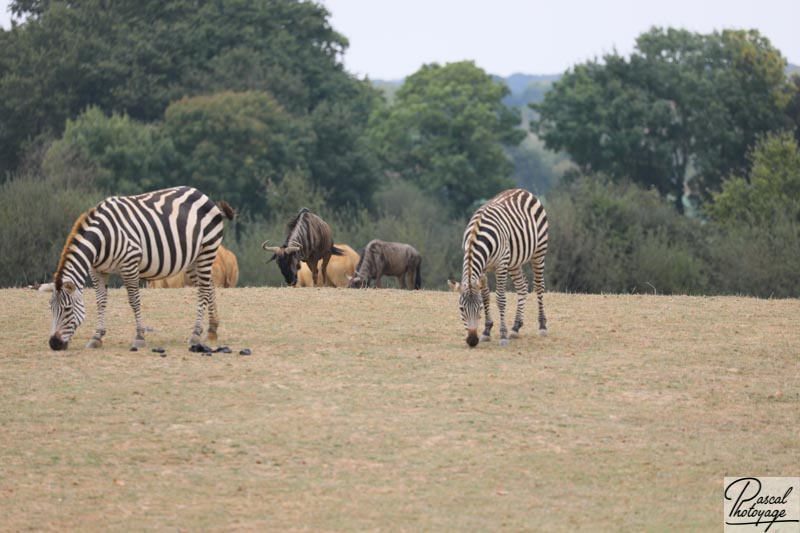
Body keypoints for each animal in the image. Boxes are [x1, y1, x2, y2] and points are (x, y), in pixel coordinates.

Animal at [48, 185, 234, 352]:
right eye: (51, 308)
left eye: (67, 309)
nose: (54, 344)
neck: (103, 238)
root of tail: (204, 195)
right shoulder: (97, 270)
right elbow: (100, 301)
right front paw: (97, 337)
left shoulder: (129, 264)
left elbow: (134, 301)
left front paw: (139, 337)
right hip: (192, 260)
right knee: (208, 287)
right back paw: (212, 330)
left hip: (207, 250)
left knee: (203, 291)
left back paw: (195, 333)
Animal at [460, 189, 548, 348]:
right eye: (461, 309)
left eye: (479, 308)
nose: (472, 341)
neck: (476, 237)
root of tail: (523, 191)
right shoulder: (483, 269)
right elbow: (486, 296)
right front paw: (487, 331)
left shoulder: (501, 265)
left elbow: (500, 298)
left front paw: (502, 335)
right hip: (514, 262)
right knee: (522, 286)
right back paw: (515, 327)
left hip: (539, 252)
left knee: (539, 286)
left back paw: (542, 326)